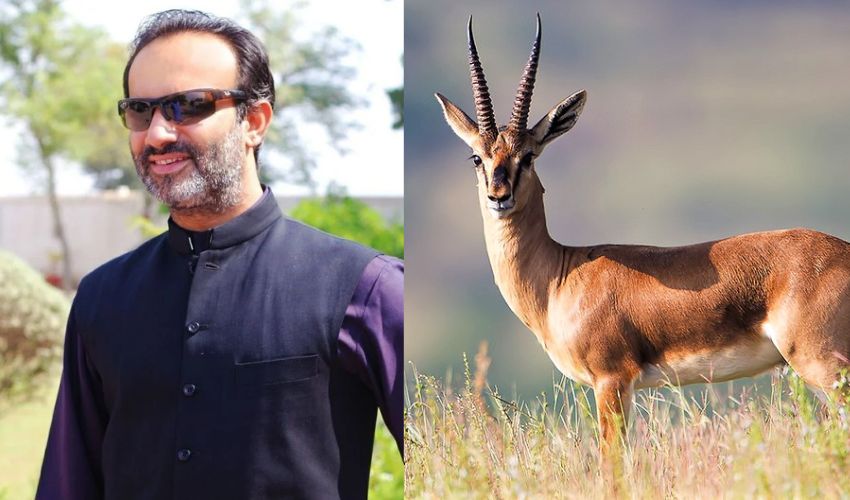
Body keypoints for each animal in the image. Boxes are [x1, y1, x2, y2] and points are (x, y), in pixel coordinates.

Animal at [435, 14, 850, 458]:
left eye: (528, 156)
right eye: (477, 157)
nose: (499, 196)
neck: (560, 276)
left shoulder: (612, 379)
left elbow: (613, 460)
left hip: (823, 365)